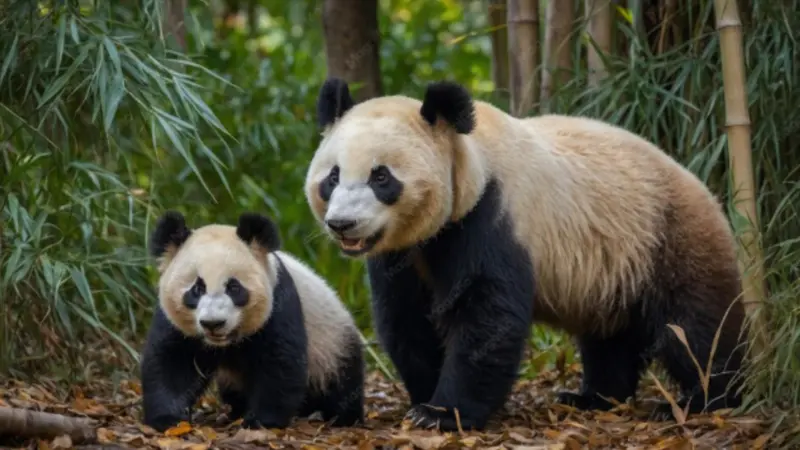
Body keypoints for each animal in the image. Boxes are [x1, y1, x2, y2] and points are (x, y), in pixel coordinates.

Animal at [140, 210, 364, 432]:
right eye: (197, 289)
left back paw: (342, 417)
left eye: (234, 287)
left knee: (340, 381)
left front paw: (262, 420)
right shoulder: (175, 322)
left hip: (333, 341)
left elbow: (280, 361)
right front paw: (169, 419)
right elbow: (172, 362)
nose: (213, 323)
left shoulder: (279, 302)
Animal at [303, 78, 748, 431]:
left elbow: (486, 316)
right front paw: (425, 397)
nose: (342, 224)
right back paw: (594, 397)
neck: (468, 158)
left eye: (381, 177)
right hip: (616, 265)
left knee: (696, 327)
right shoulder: (403, 253)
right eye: (333, 176)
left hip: (669, 237)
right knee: (610, 336)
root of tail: (701, 185)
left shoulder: (494, 215)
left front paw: (442, 414)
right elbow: (406, 319)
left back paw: (705, 400)